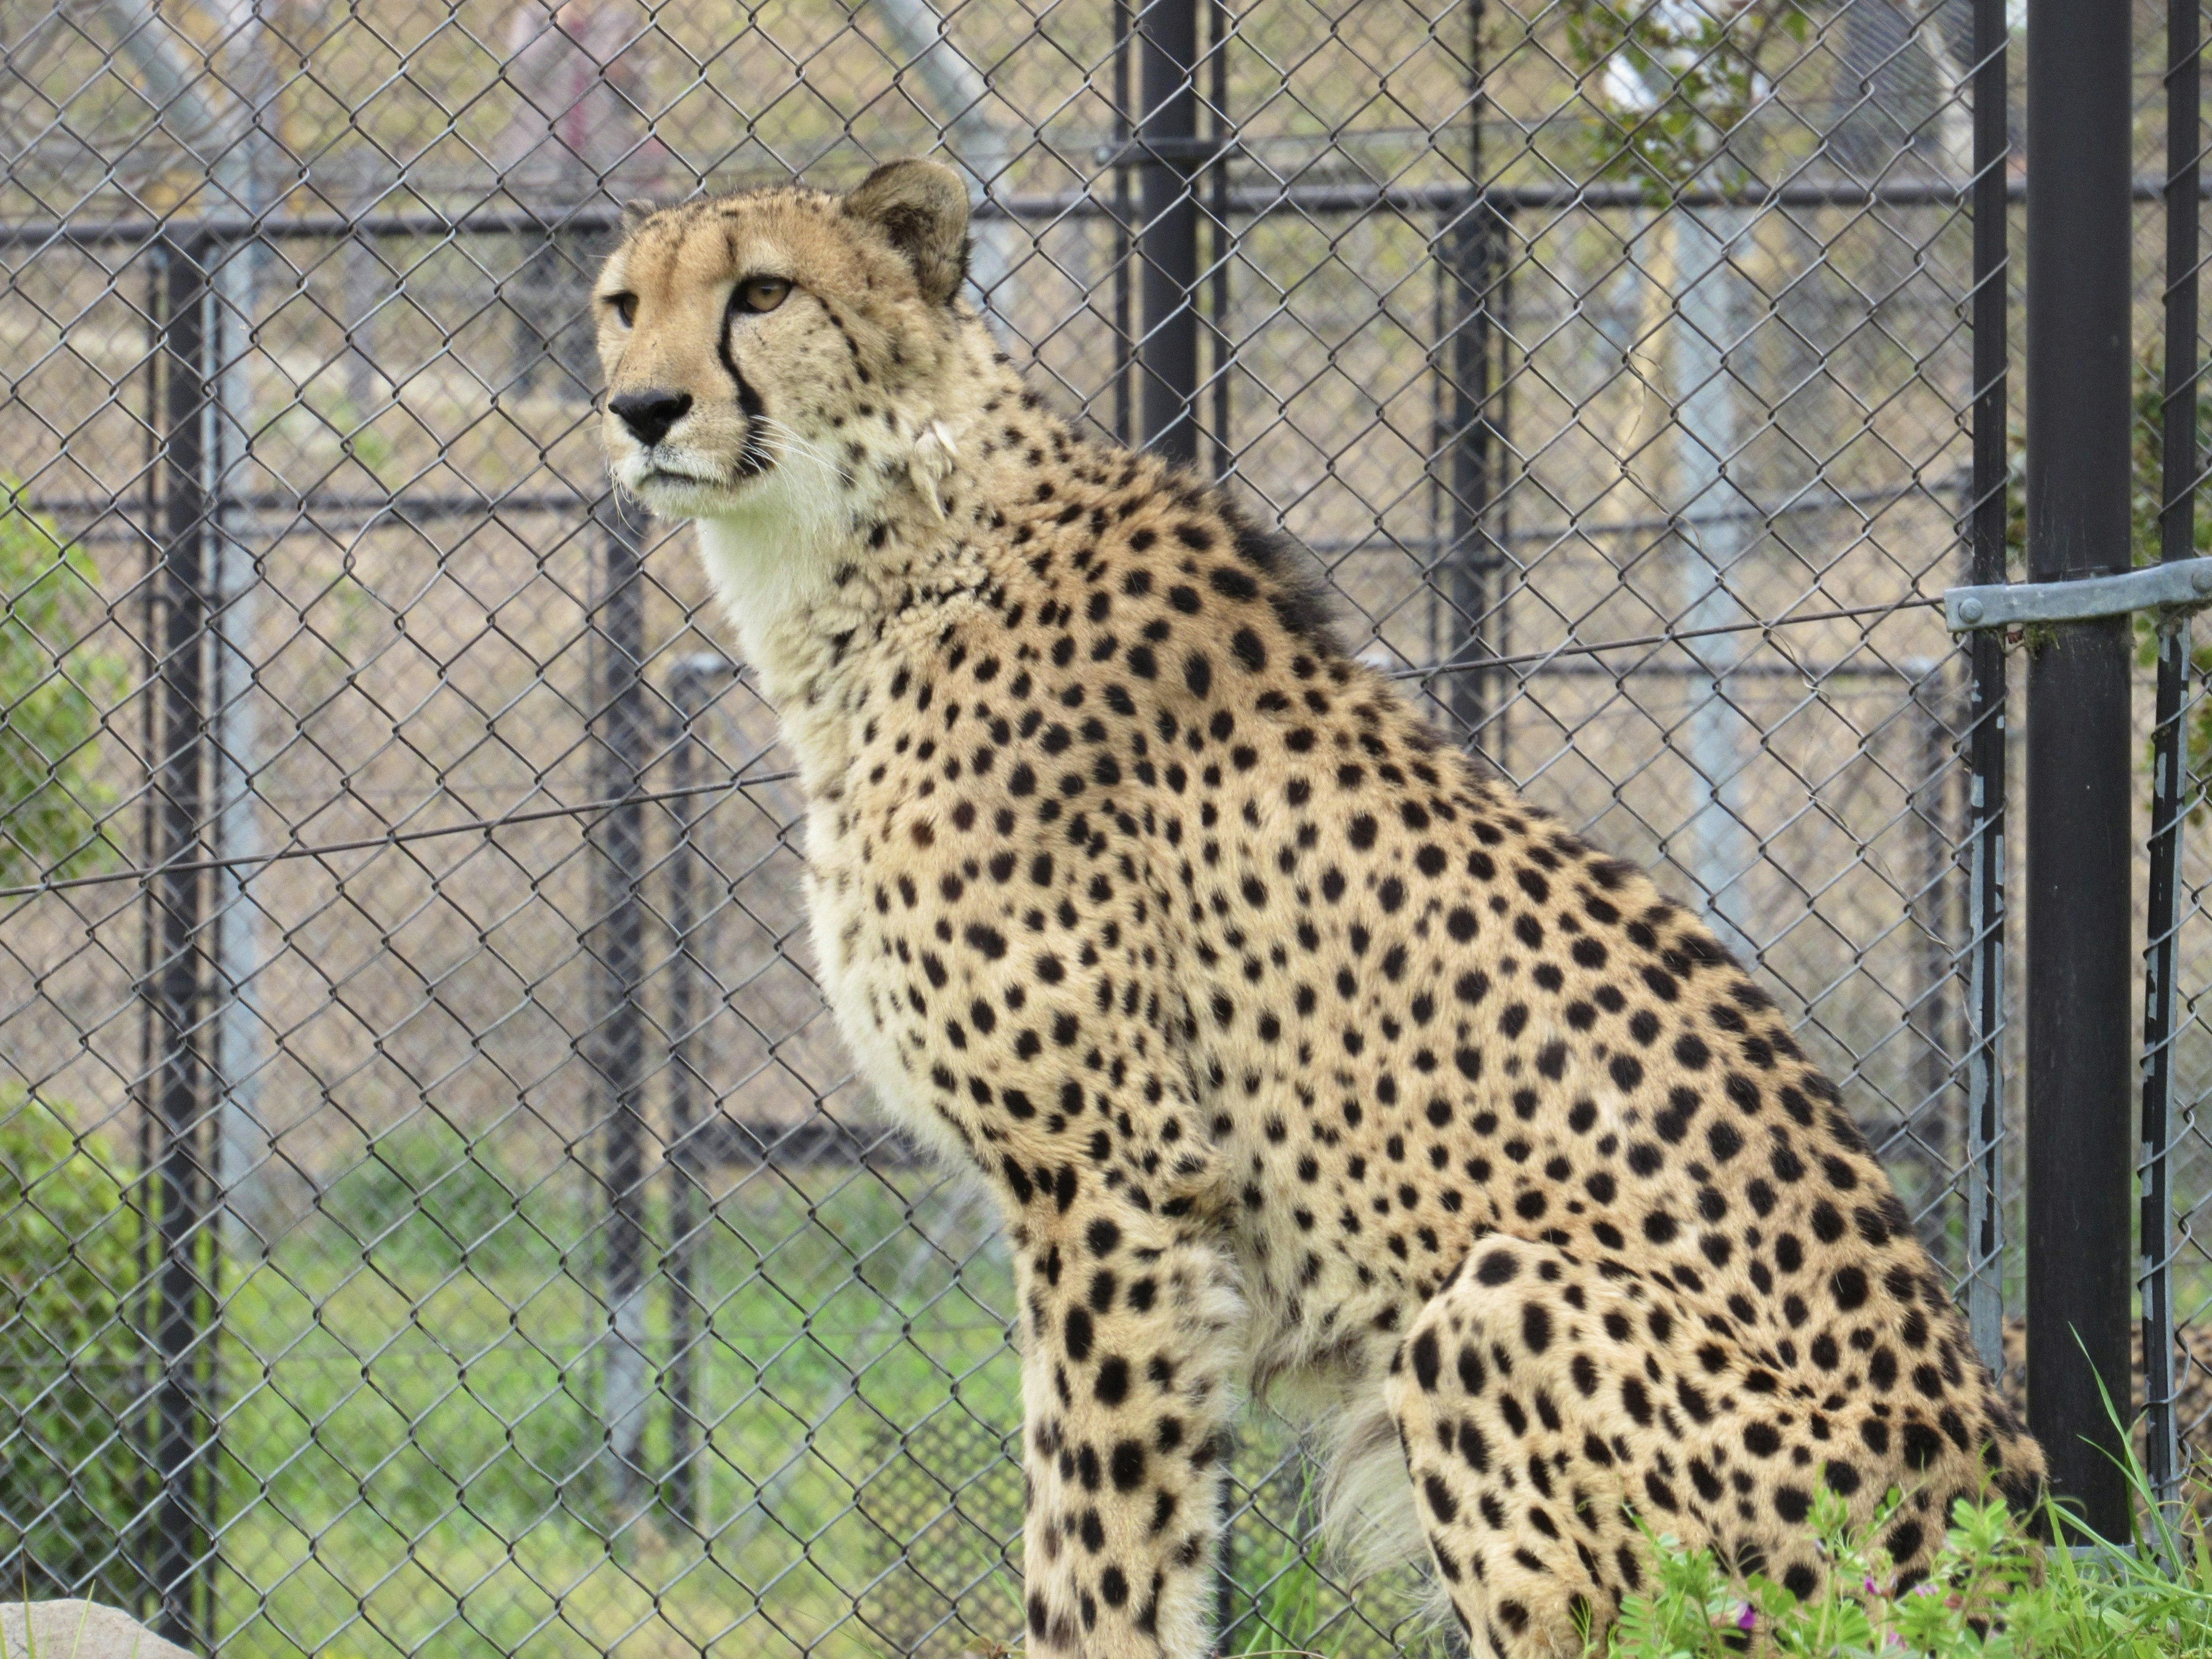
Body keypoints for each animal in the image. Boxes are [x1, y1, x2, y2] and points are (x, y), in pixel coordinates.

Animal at [597, 159, 2044, 1659]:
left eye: (763, 292)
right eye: (623, 305)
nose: (640, 409)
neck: (886, 548)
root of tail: (2013, 1533)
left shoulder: (1115, 1186)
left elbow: (1095, 1549)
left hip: (1495, 1309)